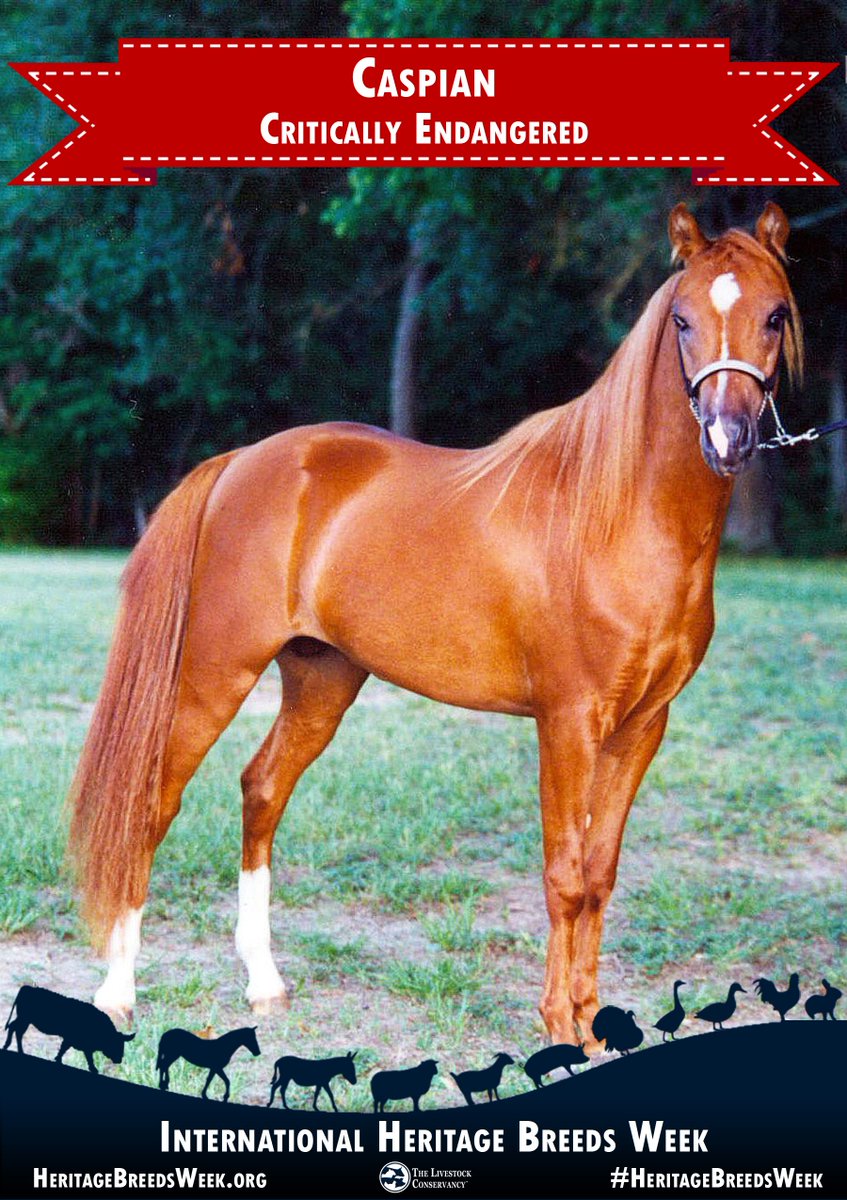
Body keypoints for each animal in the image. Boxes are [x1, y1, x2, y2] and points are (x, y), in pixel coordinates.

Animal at [68, 201, 803, 1048]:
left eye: (774, 315)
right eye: (681, 318)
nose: (726, 438)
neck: (617, 515)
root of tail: (241, 461)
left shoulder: (641, 727)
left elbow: (600, 875)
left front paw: (590, 1026)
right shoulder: (567, 722)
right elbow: (564, 874)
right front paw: (558, 1027)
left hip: (321, 676)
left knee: (262, 789)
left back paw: (264, 983)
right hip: (215, 671)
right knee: (152, 803)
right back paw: (118, 994)